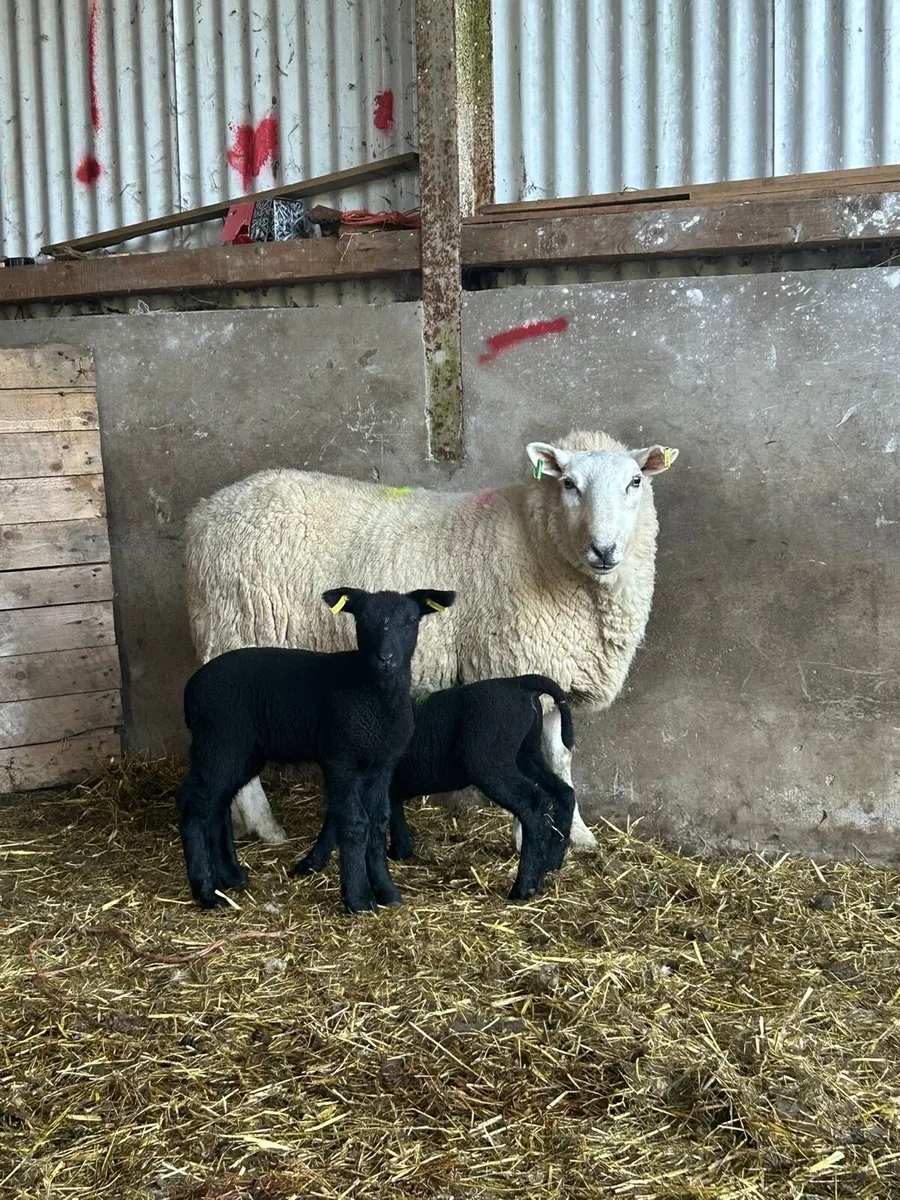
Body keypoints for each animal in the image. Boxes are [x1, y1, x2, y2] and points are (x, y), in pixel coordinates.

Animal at [175, 586, 455, 912]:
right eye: (362, 619)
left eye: (411, 620)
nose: (385, 658)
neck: (374, 696)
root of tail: (191, 688)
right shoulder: (340, 759)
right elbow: (355, 823)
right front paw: (358, 899)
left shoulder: (381, 764)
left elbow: (378, 823)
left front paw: (386, 892)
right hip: (220, 742)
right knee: (193, 805)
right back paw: (206, 892)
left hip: (240, 752)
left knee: (216, 804)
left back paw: (231, 878)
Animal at [184, 429, 679, 852]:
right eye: (570, 484)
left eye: (635, 482)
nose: (604, 550)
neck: (539, 545)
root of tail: (203, 514)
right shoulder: (511, 666)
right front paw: (527, 837)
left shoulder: (554, 676)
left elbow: (560, 760)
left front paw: (579, 835)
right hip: (234, 633)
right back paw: (265, 827)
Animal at [292, 674, 577, 901]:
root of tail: (519, 682)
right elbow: (393, 811)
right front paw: (401, 850)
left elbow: (334, 822)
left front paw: (309, 864)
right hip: (526, 753)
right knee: (564, 793)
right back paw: (552, 863)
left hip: (490, 761)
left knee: (534, 805)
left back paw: (524, 887)